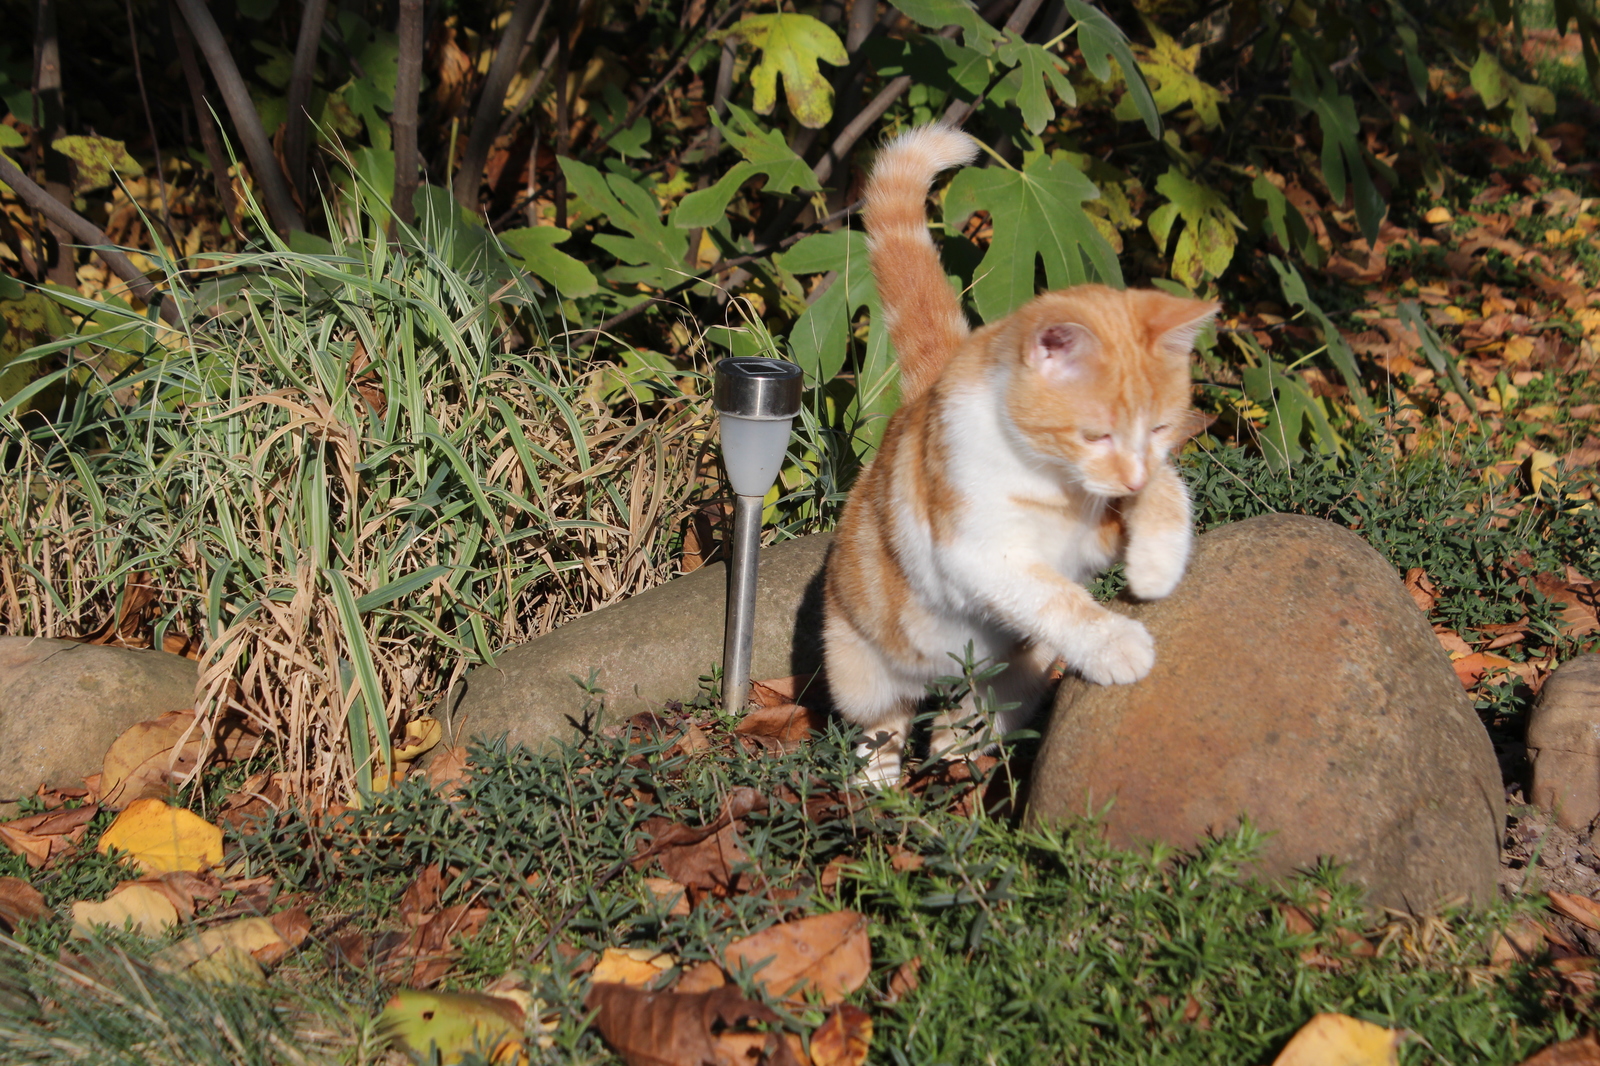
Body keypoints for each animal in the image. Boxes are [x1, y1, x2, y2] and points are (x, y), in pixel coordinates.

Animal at [825, 124, 1209, 781]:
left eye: (1160, 428)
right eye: (1096, 434)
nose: (1130, 479)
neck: (1053, 480)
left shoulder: (1097, 530)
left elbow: (1168, 491)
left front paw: (1157, 565)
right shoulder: (982, 555)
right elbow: (1059, 600)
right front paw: (1116, 643)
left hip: (1007, 676)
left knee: (978, 711)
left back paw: (959, 738)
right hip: (860, 672)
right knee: (887, 722)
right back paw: (879, 783)